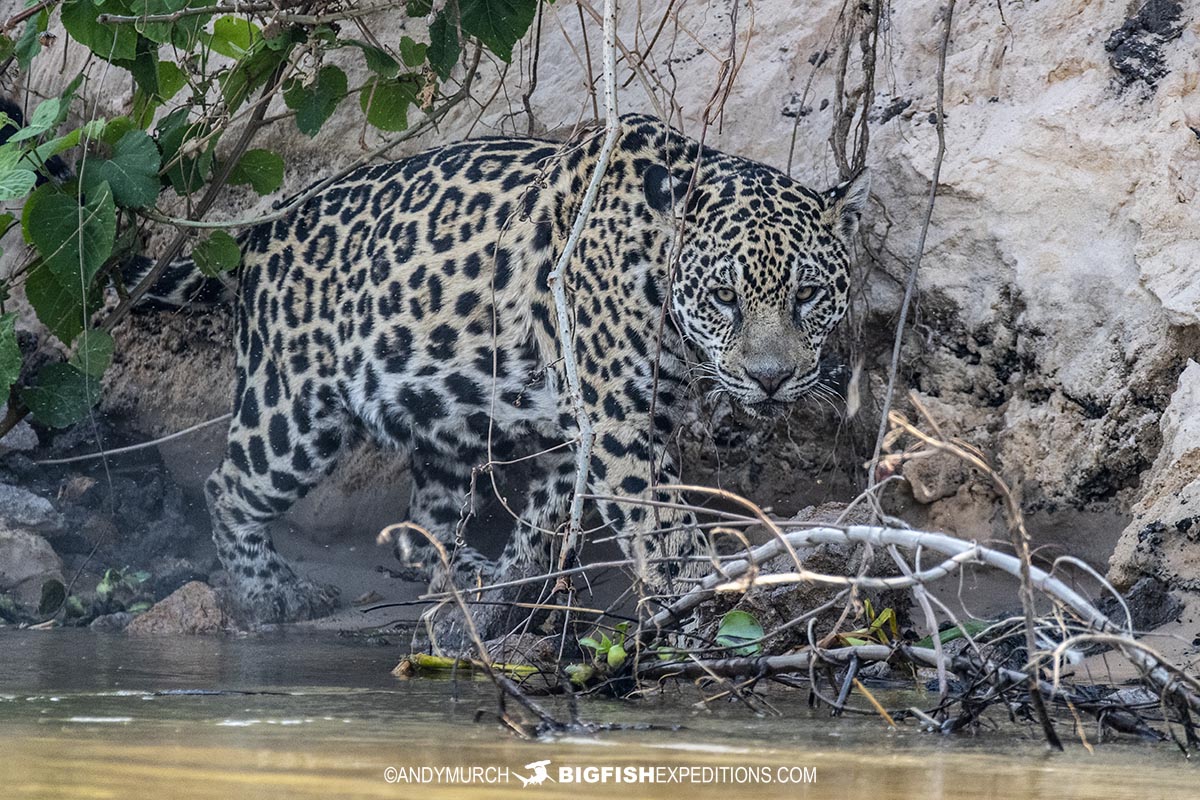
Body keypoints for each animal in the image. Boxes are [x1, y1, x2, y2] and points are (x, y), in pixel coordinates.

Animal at [135, 113, 869, 635]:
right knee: (228, 487)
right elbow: (668, 538)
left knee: (421, 522)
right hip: (293, 412)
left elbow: (547, 523)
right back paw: (270, 592)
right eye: (724, 296)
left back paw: (465, 574)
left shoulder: (590, 432)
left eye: (807, 294)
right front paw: (701, 613)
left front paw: (514, 590)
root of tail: (269, 220)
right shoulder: (620, 431)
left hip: (442, 416)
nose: (771, 377)